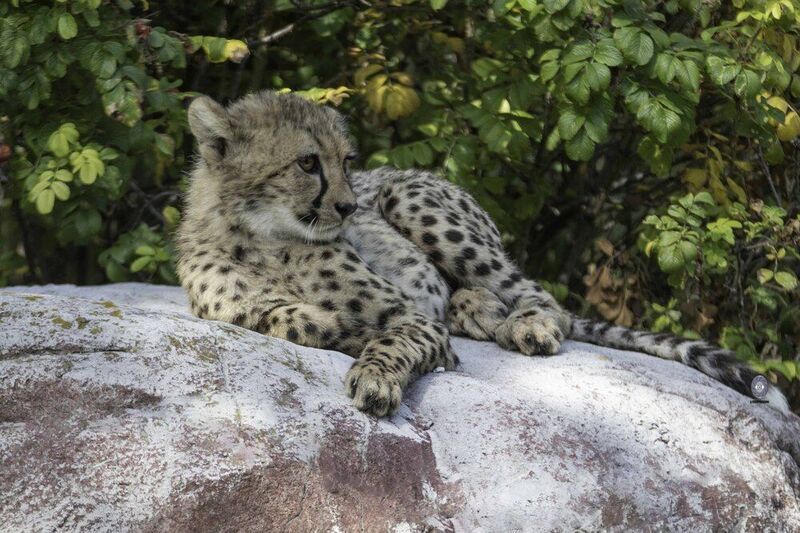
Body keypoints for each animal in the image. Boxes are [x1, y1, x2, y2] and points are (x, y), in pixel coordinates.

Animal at [176, 90, 789, 417]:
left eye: (346, 161)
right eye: (307, 162)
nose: (349, 207)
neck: (266, 240)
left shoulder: (412, 316)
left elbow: (390, 339)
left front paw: (374, 378)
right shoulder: (227, 308)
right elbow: (282, 318)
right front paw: (328, 325)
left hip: (415, 202)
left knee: (542, 297)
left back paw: (525, 324)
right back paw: (478, 311)